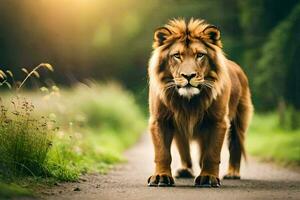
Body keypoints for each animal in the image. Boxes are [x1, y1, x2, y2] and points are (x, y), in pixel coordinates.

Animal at [148, 18, 253, 188]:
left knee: (235, 146)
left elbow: (212, 154)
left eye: (200, 55)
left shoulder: (218, 121)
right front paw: (161, 177)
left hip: (239, 120)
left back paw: (232, 173)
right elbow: (162, 153)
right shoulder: (160, 120)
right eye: (177, 56)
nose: (188, 75)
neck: (188, 101)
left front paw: (208, 177)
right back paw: (185, 170)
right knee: (184, 150)